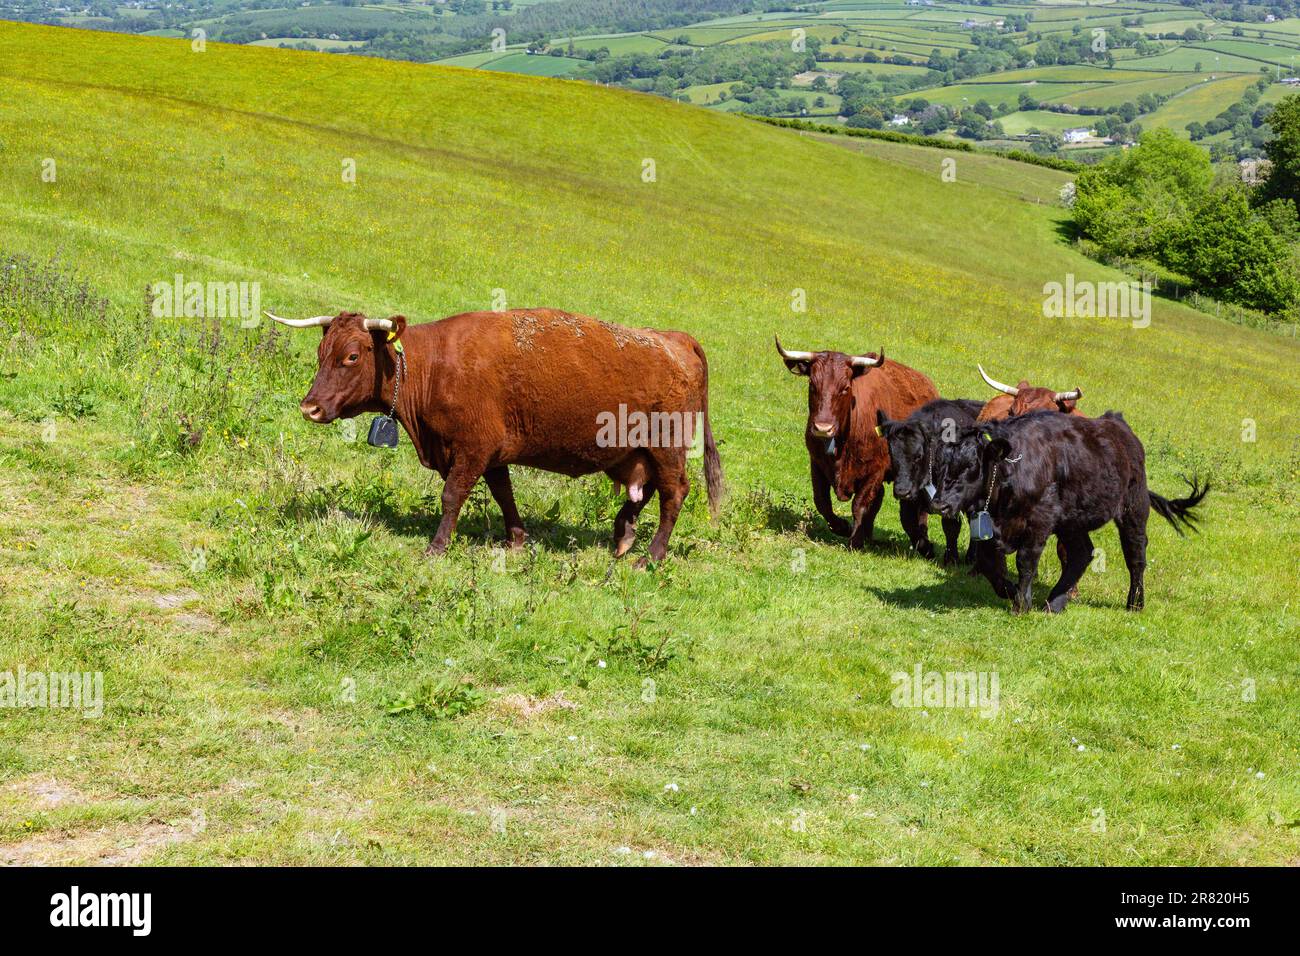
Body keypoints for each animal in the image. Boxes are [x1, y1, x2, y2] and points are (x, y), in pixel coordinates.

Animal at [267, 308, 723, 564]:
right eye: (321, 354)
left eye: (351, 356)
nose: (310, 407)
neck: (432, 365)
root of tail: (672, 338)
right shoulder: (492, 452)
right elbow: (504, 494)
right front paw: (517, 540)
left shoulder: (472, 449)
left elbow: (452, 496)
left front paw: (436, 547)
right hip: (635, 451)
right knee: (643, 490)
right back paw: (624, 534)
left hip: (667, 447)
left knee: (673, 493)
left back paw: (651, 556)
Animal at [775, 338, 938, 549]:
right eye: (812, 384)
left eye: (845, 388)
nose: (822, 428)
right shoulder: (817, 463)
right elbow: (822, 502)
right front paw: (844, 527)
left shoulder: (875, 470)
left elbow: (860, 505)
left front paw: (855, 540)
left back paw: (921, 542)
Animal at [875, 398, 985, 564]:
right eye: (891, 454)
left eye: (919, 455)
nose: (902, 491)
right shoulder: (910, 500)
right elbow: (909, 523)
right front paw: (928, 550)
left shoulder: (949, 500)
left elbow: (951, 526)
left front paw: (951, 559)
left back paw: (972, 557)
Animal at [931, 410, 1207, 614]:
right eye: (941, 463)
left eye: (970, 465)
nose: (939, 504)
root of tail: (1116, 422)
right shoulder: (987, 525)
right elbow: (988, 563)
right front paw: (1010, 590)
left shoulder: (1039, 521)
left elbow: (1025, 561)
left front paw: (1021, 605)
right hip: (1071, 521)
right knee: (1081, 554)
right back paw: (1054, 602)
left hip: (1134, 509)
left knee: (1135, 556)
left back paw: (1135, 604)